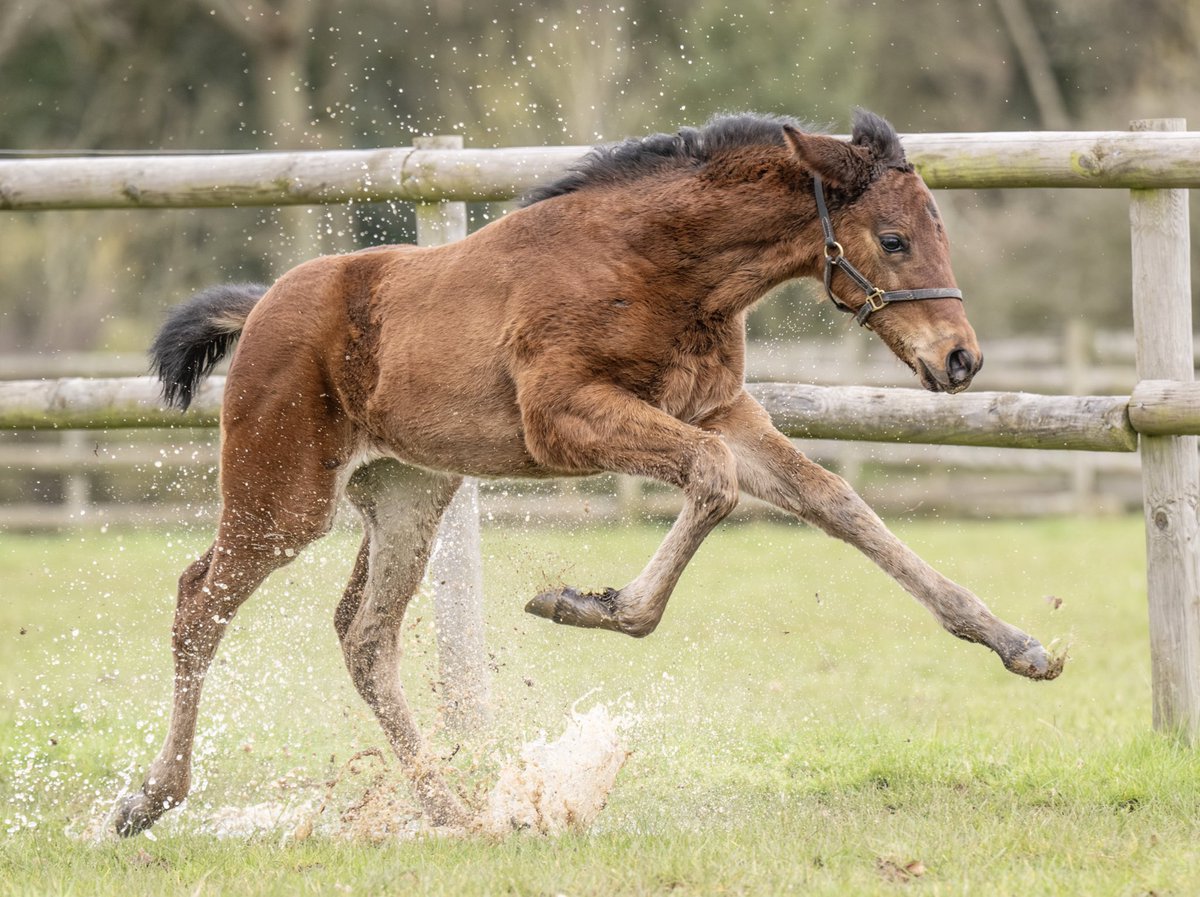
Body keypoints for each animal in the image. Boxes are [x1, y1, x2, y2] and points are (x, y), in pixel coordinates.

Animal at [114, 110, 1062, 837]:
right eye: (894, 238)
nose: (960, 360)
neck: (656, 265)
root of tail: (261, 307)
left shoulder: (722, 411)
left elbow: (836, 502)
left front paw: (1018, 644)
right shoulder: (568, 415)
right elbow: (713, 482)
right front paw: (587, 604)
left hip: (409, 495)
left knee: (365, 635)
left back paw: (453, 812)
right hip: (282, 497)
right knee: (199, 600)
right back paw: (149, 799)